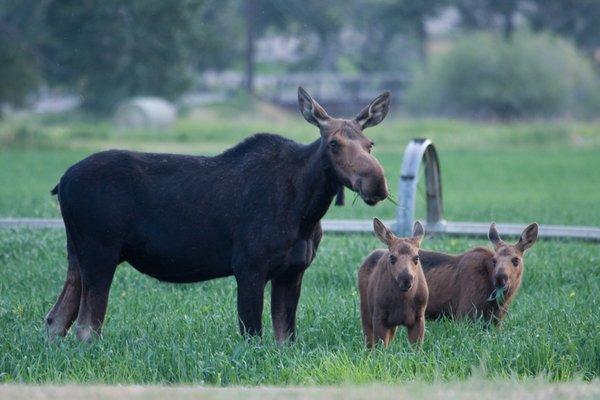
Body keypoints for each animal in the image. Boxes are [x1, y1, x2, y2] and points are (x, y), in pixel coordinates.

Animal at [48, 87, 394, 344]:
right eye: (333, 143)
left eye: (370, 143)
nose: (376, 182)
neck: (307, 211)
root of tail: (61, 182)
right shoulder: (249, 267)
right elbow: (252, 335)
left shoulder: (293, 271)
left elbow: (285, 339)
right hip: (100, 254)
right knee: (86, 328)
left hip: (77, 255)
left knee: (55, 320)